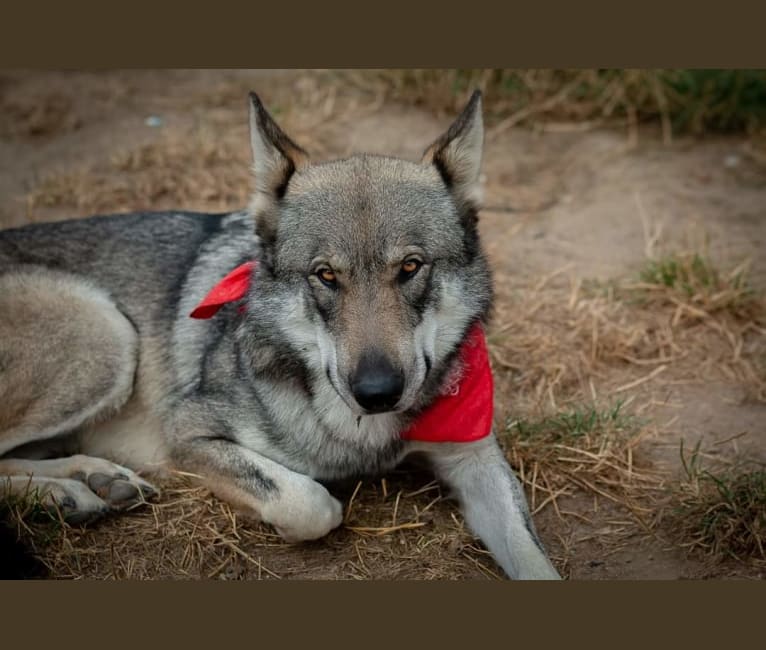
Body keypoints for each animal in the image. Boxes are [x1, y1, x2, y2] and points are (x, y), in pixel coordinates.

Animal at [1, 90, 564, 576]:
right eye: (325, 275)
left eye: (410, 267)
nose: (377, 392)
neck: (357, 431)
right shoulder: (187, 431)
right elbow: (311, 502)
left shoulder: (473, 453)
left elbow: (533, 558)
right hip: (109, 336)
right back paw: (71, 493)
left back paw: (91, 481)